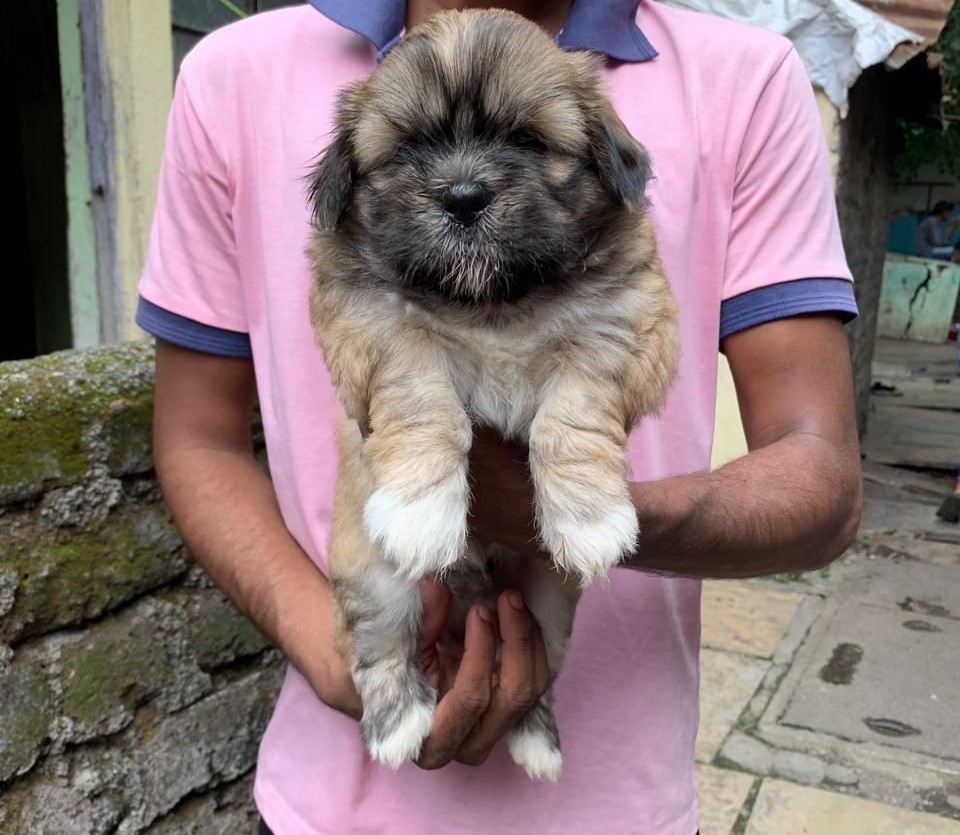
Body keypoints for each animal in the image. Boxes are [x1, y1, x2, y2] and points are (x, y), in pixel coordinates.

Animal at [306, 8, 676, 784]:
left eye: (528, 142)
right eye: (409, 150)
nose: (463, 196)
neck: (493, 303)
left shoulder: (625, 326)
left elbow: (572, 414)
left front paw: (590, 518)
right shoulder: (375, 326)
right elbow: (423, 398)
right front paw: (420, 512)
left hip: (548, 606)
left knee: (535, 673)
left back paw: (537, 740)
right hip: (372, 579)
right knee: (380, 649)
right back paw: (399, 727)